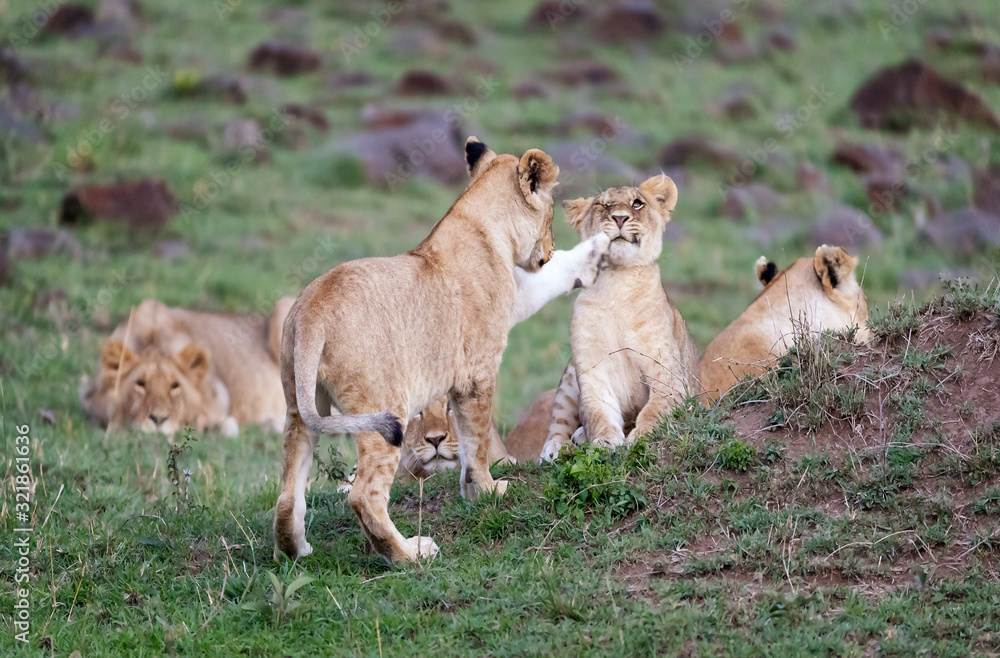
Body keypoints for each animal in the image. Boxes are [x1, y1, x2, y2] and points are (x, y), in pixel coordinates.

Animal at [274, 137, 560, 564]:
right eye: (553, 214)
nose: (551, 252)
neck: (485, 225)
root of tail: (313, 311)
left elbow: (466, 443)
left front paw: (474, 491)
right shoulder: (478, 372)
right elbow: (476, 443)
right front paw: (488, 492)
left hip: (299, 406)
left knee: (287, 496)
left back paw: (296, 553)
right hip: (385, 409)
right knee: (364, 496)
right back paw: (411, 554)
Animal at [539, 175, 700, 461]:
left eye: (637, 203)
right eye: (603, 205)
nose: (620, 218)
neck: (617, 282)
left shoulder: (667, 372)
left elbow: (655, 410)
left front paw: (643, 436)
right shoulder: (591, 367)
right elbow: (597, 412)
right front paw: (604, 442)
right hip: (569, 374)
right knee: (559, 417)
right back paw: (556, 448)